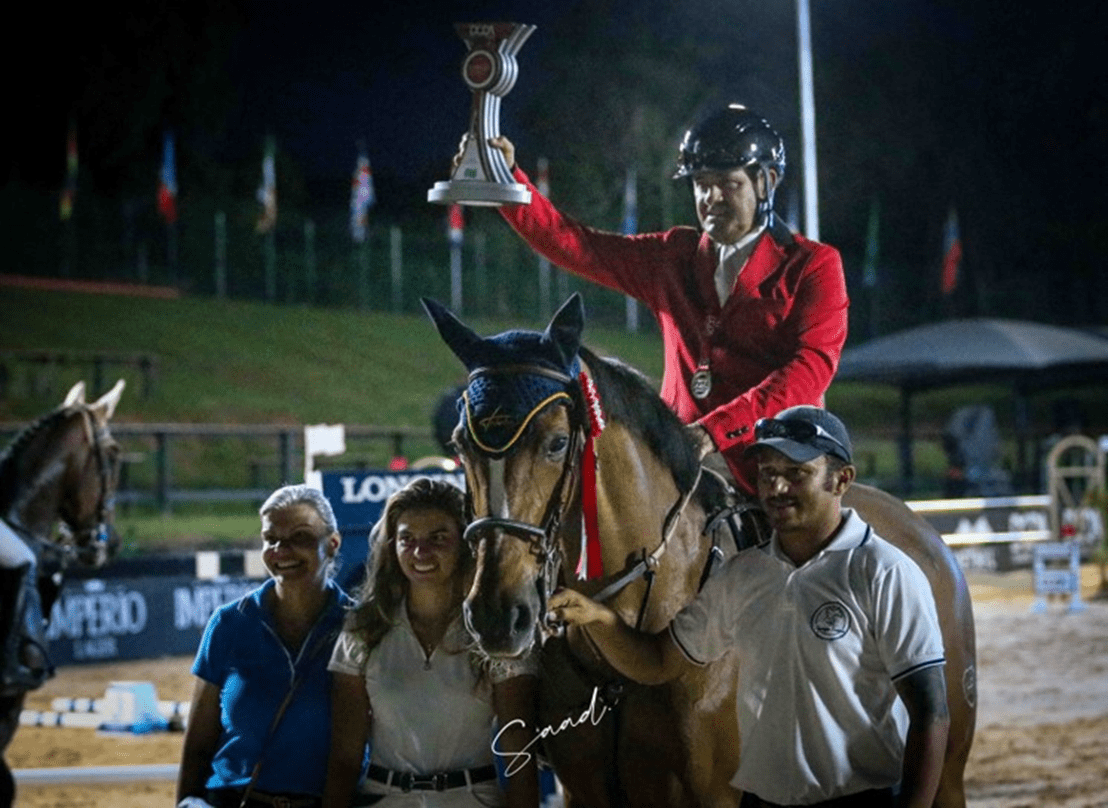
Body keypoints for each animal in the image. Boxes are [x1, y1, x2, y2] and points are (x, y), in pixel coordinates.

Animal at [425, 297, 979, 806]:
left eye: (558, 442)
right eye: (459, 446)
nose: (497, 615)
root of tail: (923, 532)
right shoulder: (585, 793)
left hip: (948, 772)